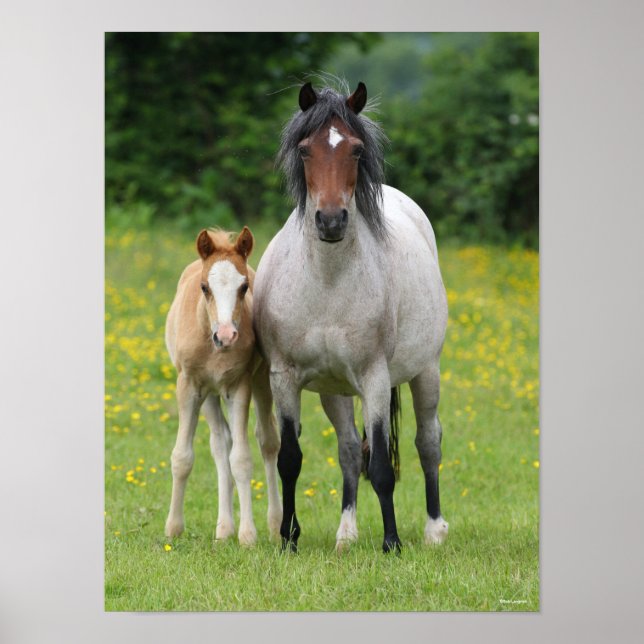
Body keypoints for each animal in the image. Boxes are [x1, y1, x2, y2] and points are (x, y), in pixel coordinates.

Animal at [164, 226, 282, 545]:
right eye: (205, 287)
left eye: (244, 288)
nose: (226, 336)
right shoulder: (189, 386)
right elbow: (182, 456)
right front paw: (173, 528)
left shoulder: (239, 387)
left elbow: (241, 459)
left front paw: (248, 536)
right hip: (208, 396)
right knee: (220, 443)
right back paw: (224, 528)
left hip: (261, 380)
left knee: (268, 441)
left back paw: (275, 525)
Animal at [253, 80, 449, 553]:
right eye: (305, 150)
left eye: (356, 151)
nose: (330, 221)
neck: (326, 282)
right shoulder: (284, 378)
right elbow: (291, 459)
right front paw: (288, 540)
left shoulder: (375, 378)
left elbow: (380, 466)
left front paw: (392, 543)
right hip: (335, 391)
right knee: (346, 449)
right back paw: (346, 534)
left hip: (426, 372)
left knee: (428, 443)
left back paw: (434, 529)